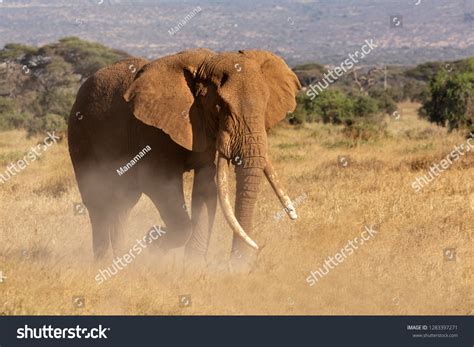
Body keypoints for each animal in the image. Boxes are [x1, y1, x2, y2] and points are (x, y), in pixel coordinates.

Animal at [67, 47, 300, 268]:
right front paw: (152, 242)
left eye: (266, 104)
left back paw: (122, 260)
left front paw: (192, 265)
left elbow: (206, 188)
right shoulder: (151, 129)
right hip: (80, 135)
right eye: (218, 107)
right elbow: (158, 184)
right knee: (98, 201)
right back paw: (104, 261)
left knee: (123, 202)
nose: (235, 266)